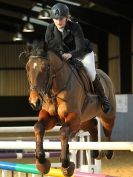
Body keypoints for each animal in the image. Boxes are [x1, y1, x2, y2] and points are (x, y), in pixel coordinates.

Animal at [25, 46, 116, 177]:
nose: (34, 102)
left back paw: (108, 153)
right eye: (27, 68)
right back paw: (95, 153)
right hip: (83, 120)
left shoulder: (73, 118)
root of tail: (105, 75)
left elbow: (63, 132)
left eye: (45, 68)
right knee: (93, 127)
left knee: (107, 130)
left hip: (106, 115)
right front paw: (41, 162)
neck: (55, 88)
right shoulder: (50, 117)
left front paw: (65, 164)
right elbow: (38, 127)